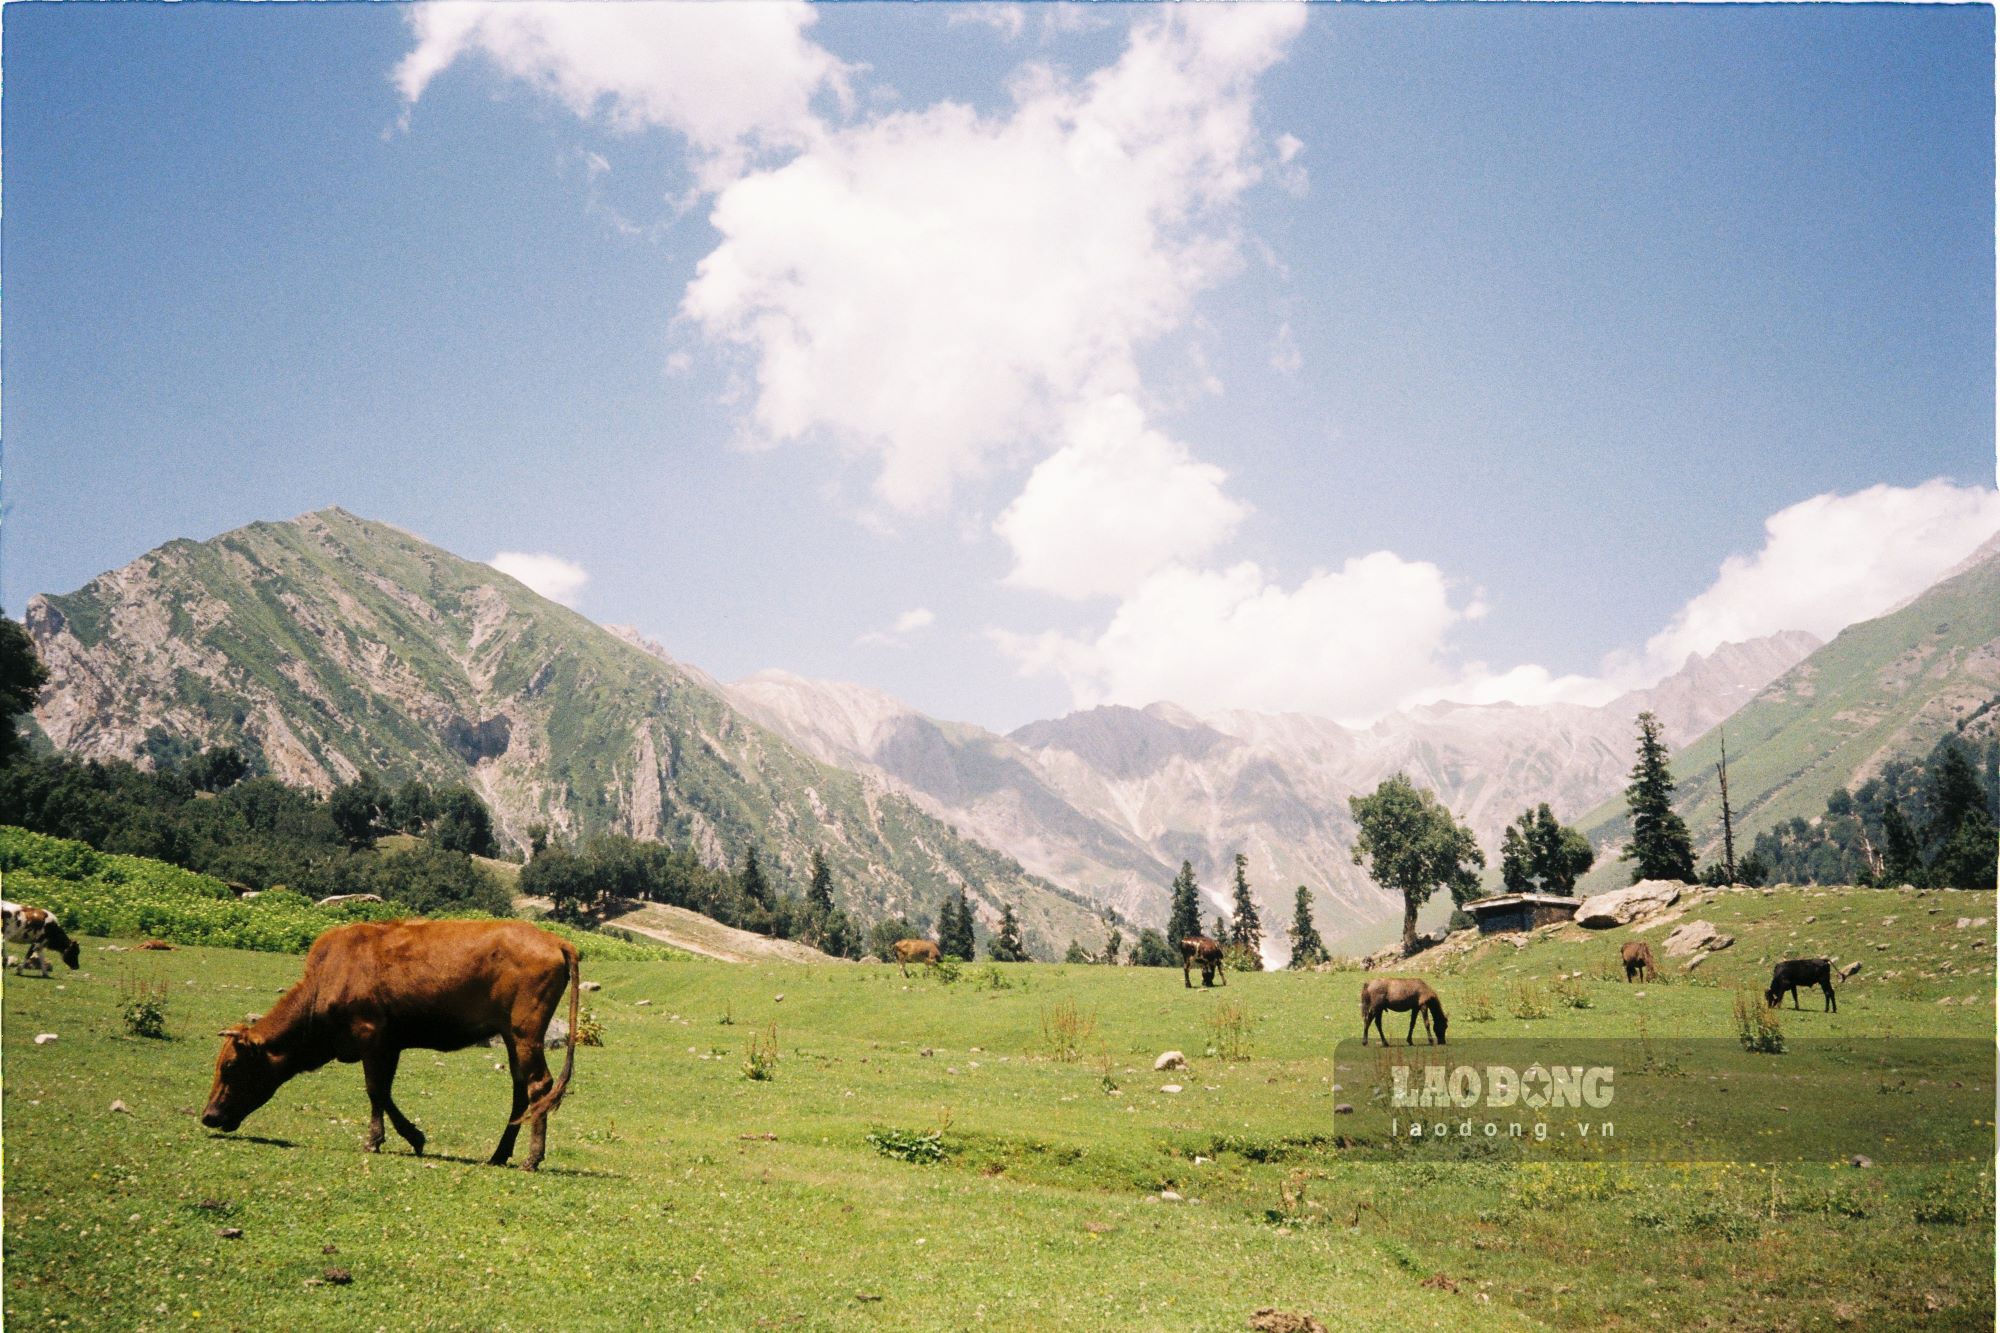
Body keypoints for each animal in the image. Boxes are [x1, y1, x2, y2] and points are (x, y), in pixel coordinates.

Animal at [200, 920, 580, 1168]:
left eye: (231, 1066)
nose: (208, 1116)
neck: (328, 978)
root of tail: (555, 940)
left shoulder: (371, 1037)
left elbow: (375, 1090)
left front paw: (387, 1139)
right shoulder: (390, 1044)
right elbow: (384, 1090)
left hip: (525, 1034)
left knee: (538, 1085)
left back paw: (532, 1158)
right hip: (514, 1037)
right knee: (521, 1090)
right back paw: (500, 1154)